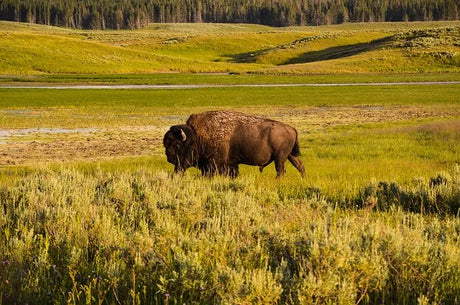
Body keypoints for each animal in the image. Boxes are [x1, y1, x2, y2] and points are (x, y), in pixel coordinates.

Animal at [163, 111, 306, 178]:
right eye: (166, 144)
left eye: (177, 145)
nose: (169, 158)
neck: (197, 137)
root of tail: (292, 128)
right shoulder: (231, 164)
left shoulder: (214, 165)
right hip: (290, 155)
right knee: (300, 166)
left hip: (280, 157)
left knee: (281, 170)